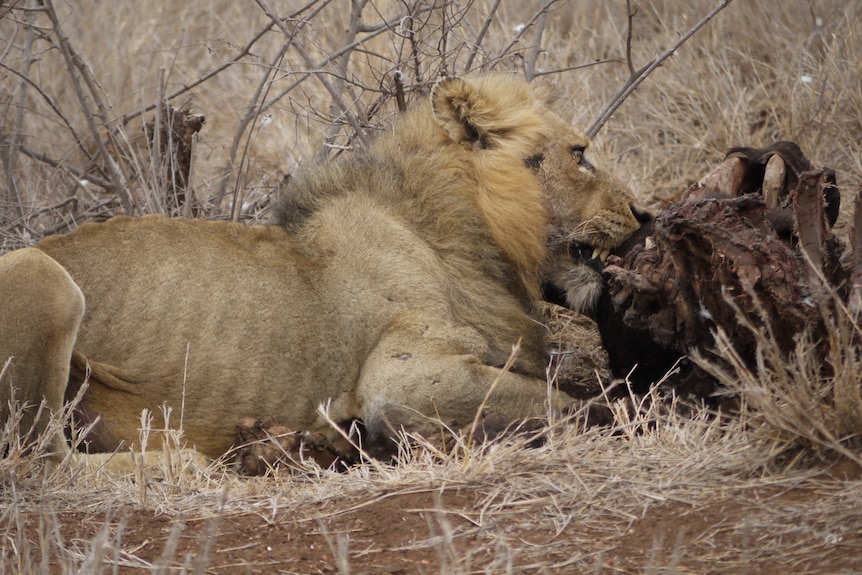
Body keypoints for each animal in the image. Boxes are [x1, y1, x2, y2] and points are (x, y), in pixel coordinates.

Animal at [0, 74, 644, 468]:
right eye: (580, 155)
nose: (644, 213)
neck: (461, 230)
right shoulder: (401, 379)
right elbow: (567, 401)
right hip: (38, 271)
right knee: (44, 461)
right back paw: (203, 461)